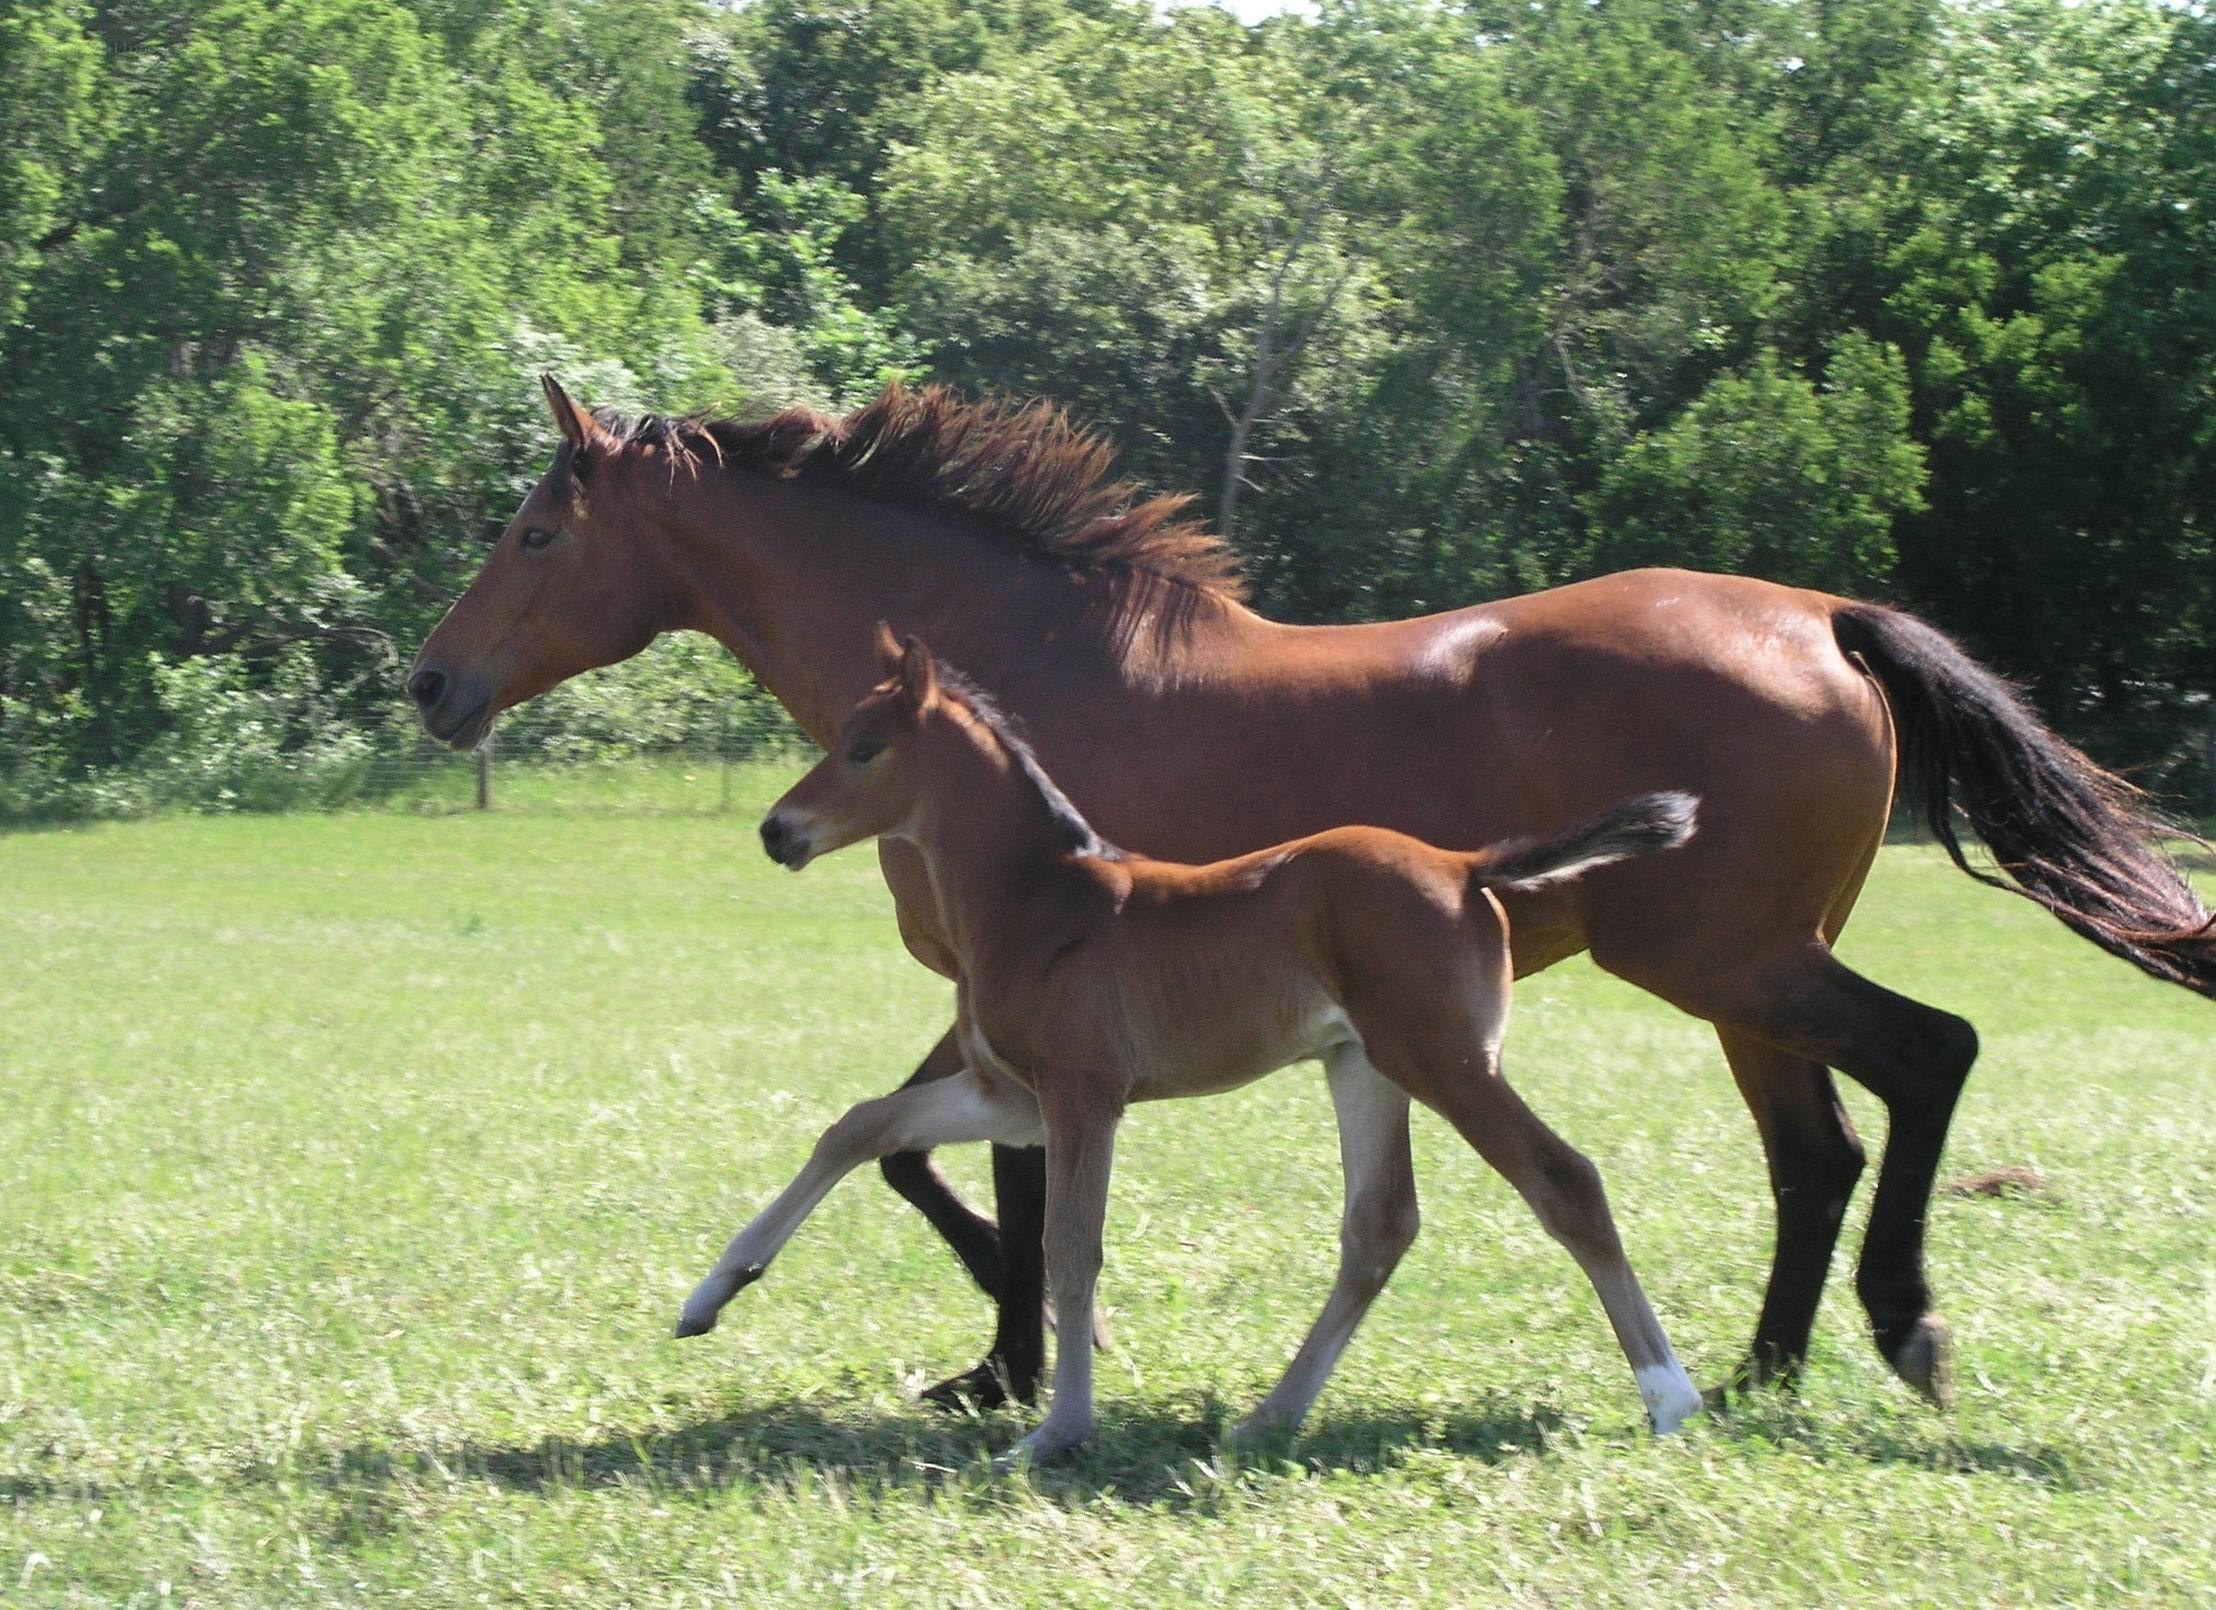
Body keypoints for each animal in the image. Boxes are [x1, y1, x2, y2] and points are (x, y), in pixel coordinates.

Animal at [676, 628, 1708, 1460]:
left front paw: (1058, 1433)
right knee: (1379, 1225)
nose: (777, 830)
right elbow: (861, 1125)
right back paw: (1268, 1417)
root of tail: (1466, 866)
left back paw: (1670, 1398)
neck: (1038, 899)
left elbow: (1070, 1246)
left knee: (1563, 1182)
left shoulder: (1082, 1092)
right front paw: (711, 1292)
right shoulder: (1007, 1093)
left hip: (1445, 1061)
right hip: (1363, 1065)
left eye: (864, 748)